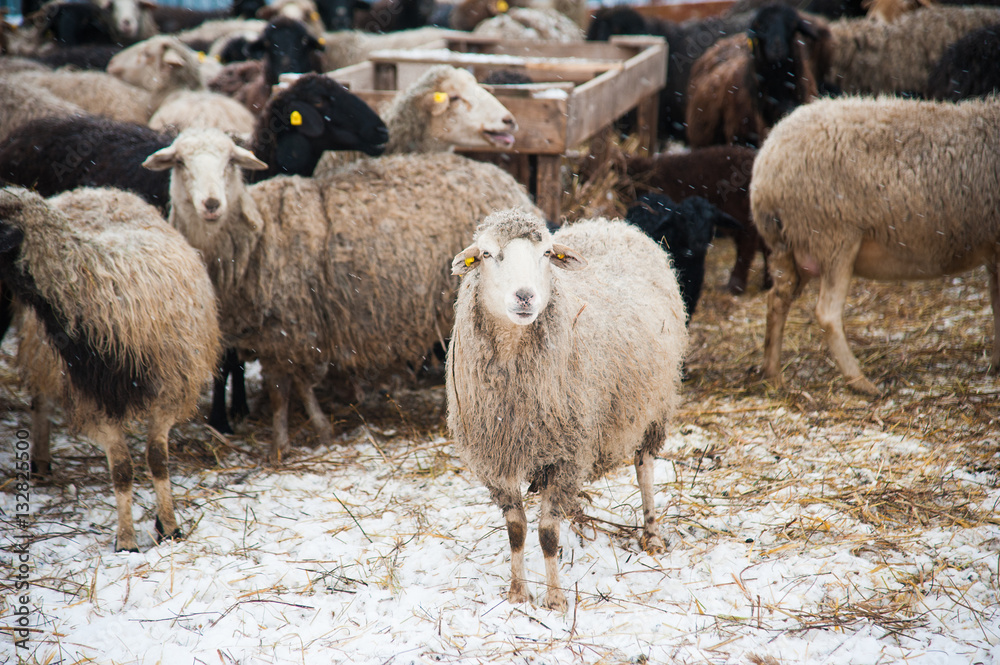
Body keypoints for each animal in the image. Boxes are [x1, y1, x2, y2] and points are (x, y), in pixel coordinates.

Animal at [0, 185, 220, 552]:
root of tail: (92, 190)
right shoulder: (93, 399)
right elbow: (121, 471)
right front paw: (127, 541)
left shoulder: (169, 390)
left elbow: (158, 460)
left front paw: (169, 527)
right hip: (42, 355)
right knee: (41, 403)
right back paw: (41, 461)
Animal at [144, 134, 539, 461]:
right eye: (180, 164)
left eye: (230, 163)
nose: (211, 204)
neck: (253, 238)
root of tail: (509, 183)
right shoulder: (292, 331)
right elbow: (299, 383)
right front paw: (318, 427)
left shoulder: (285, 328)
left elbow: (281, 390)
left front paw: (281, 444)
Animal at [445, 210, 687, 610]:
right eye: (486, 254)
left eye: (545, 253)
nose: (525, 296)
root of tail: (611, 224)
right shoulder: (496, 460)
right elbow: (516, 530)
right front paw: (517, 593)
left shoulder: (567, 453)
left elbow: (545, 533)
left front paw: (556, 599)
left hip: (656, 404)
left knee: (644, 466)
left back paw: (651, 533)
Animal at [750, 95, 1000, 395]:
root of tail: (767, 161)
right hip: (834, 238)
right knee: (826, 314)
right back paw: (861, 382)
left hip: (788, 247)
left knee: (777, 300)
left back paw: (773, 374)